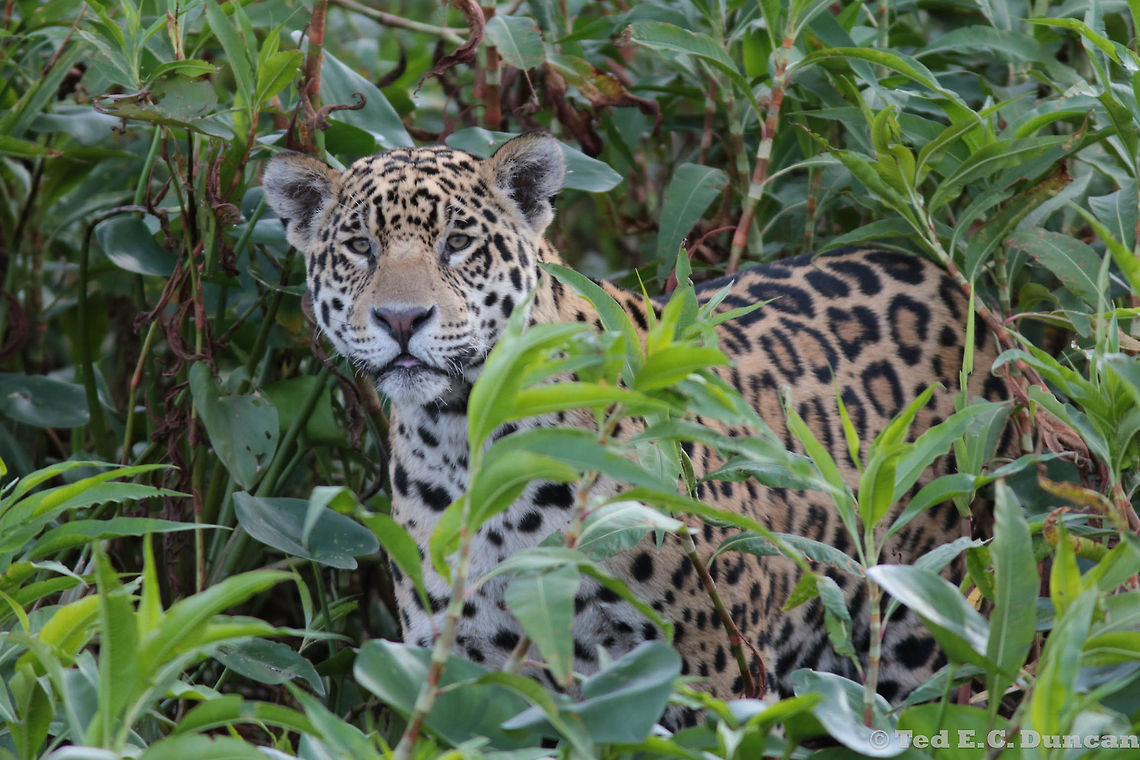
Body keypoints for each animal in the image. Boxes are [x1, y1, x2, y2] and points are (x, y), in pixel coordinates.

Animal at [262, 132, 1006, 717]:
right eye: (359, 246)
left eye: (459, 241)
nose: (400, 319)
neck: (462, 444)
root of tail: (951, 279)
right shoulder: (468, 668)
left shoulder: (704, 669)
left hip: (922, 622)